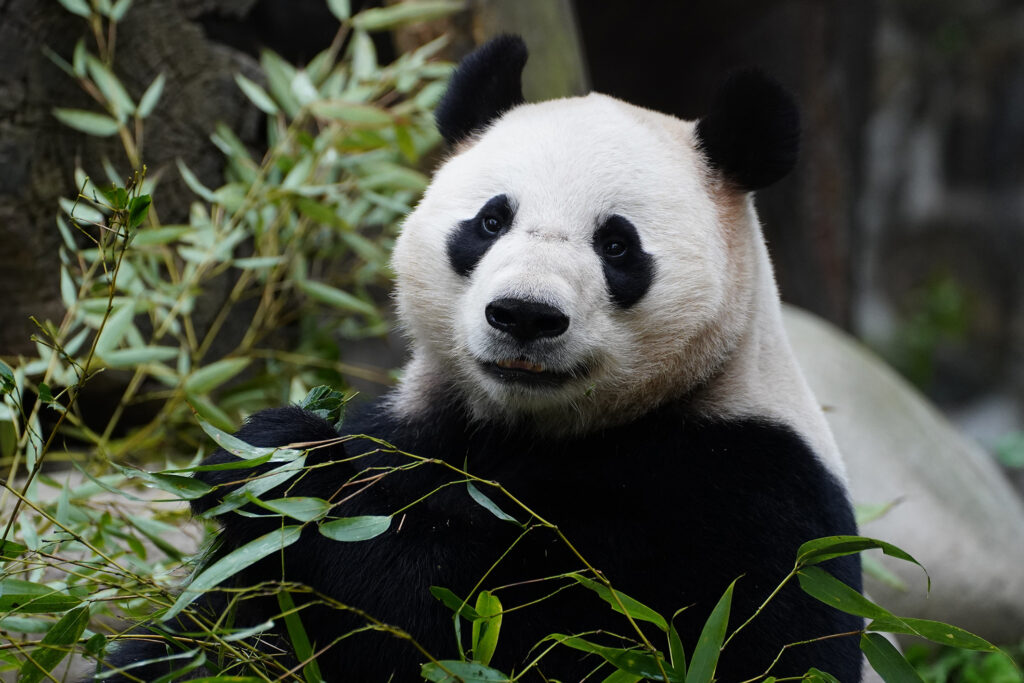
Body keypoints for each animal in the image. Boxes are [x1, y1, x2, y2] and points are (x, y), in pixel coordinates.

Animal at [99, 35, 863, 682]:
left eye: (617, 245)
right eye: (492, 220)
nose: (525, 314)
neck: (532, 426)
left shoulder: (742, 494)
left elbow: (476, 616)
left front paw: (296, 471)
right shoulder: (416, 428)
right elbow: (223, 618)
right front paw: (261, 455)